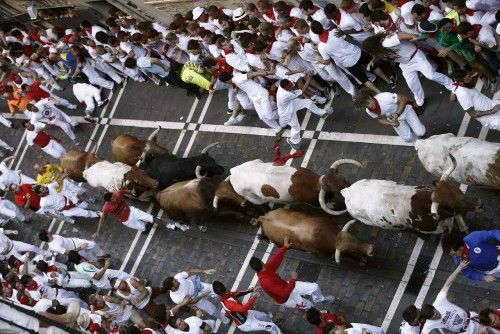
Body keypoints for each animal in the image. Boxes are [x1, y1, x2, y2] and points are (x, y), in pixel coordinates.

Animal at [220, 159, 364, 210]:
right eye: (336, 188)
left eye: (343, 178)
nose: (350, 187)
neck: (312, 183)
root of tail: (233, 172)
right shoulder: (313, 202)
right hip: (254, 199)